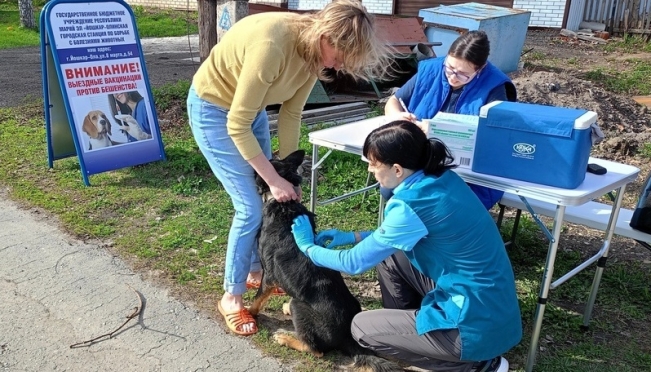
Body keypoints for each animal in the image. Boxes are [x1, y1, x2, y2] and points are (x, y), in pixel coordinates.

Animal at [250, 150, 402, 370]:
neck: (284, 205)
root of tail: (347, 336)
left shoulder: (269, 276)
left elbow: (257, 299)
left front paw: (248, 312)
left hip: (299, 306)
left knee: (315, 349)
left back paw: (286, 338)